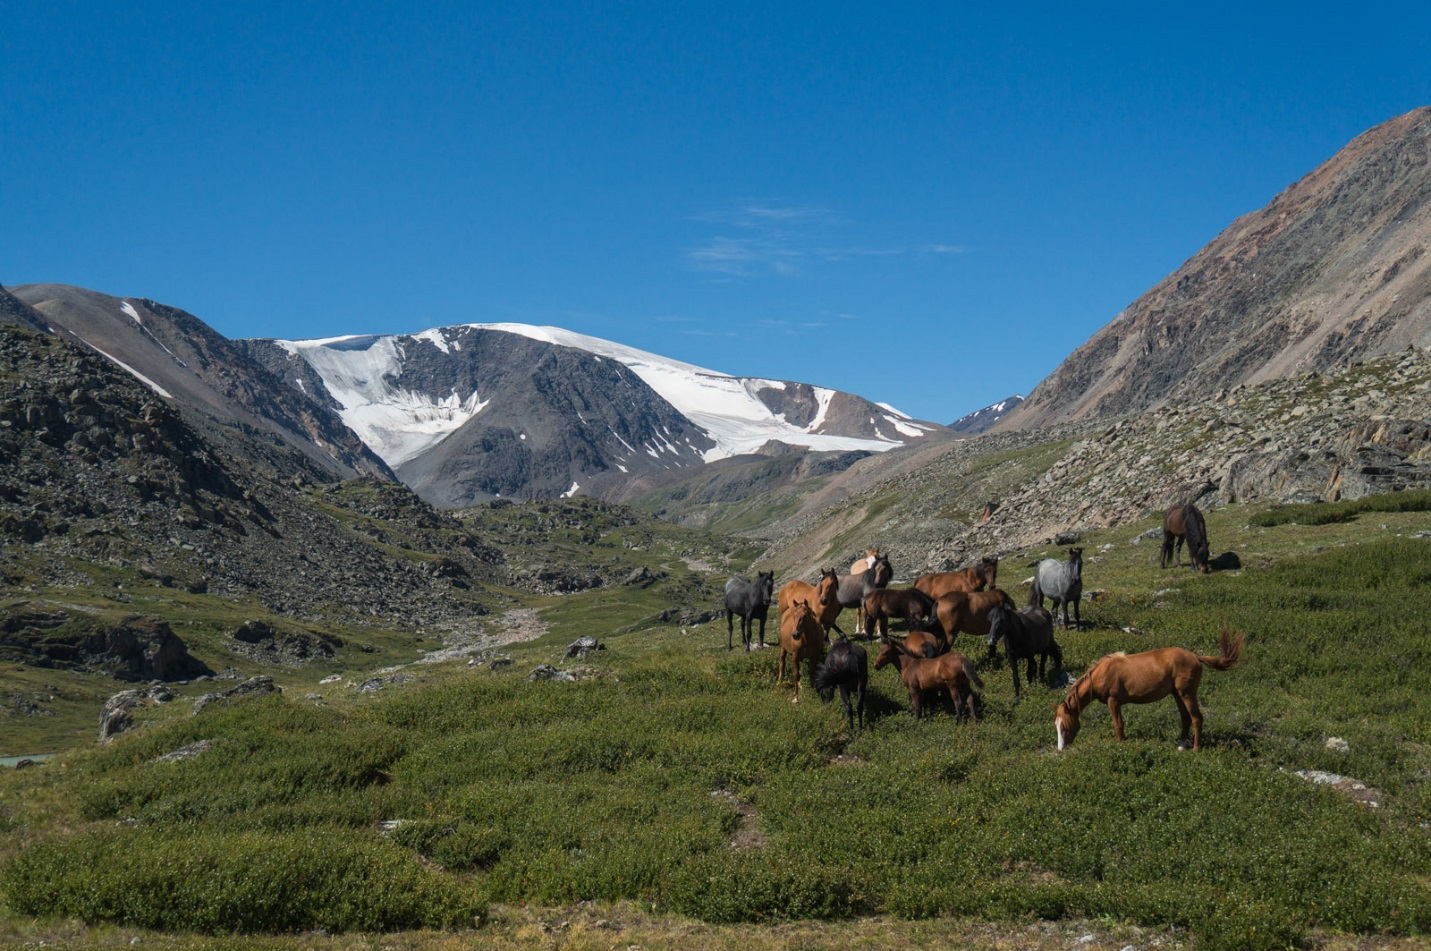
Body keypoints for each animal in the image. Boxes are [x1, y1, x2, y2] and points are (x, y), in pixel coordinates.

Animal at [1053, 623, 1242, 749]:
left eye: (1064, 725)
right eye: (1056, 724)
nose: (1061, 749)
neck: (1101, 674)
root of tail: (1195, 656)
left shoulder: (1113, 701)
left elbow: (1118, 725)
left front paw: (1120, 746)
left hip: (1187, 693)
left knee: (1197, 718)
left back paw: (1196, 748)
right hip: (1177, 694)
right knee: (1186, 718)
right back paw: (1181, 745)